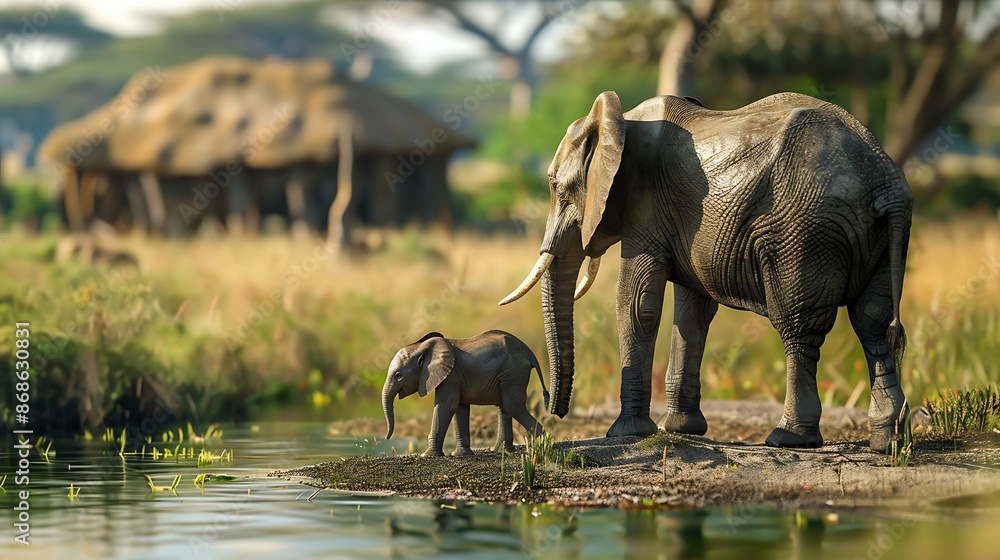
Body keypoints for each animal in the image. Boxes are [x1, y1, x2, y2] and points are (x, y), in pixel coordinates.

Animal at [382, 330, 549, 456]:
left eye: (398, 375)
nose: (386, 437)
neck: (422, 349)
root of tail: (528, 351)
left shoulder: (451, 375)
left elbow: (447, 406)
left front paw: (428, 455)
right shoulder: (456, 377)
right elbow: (459, 408)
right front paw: (461, 455)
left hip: (514, 371)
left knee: (512, 406)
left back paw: (545, 442)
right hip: (509, 374)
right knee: (504, 407)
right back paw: (501, 451)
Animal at [499, 91, 912, 452]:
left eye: (558, 188)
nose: (553, 407)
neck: (619, 121)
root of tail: (886, 178)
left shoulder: (645, 208)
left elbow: (637, 304)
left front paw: (626, 434)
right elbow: (693, 312)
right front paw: (680, 429)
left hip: (804, 232)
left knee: (799, 326)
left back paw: (789, 438)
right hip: (873, 235)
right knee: (873, 322)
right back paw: (887, 442)